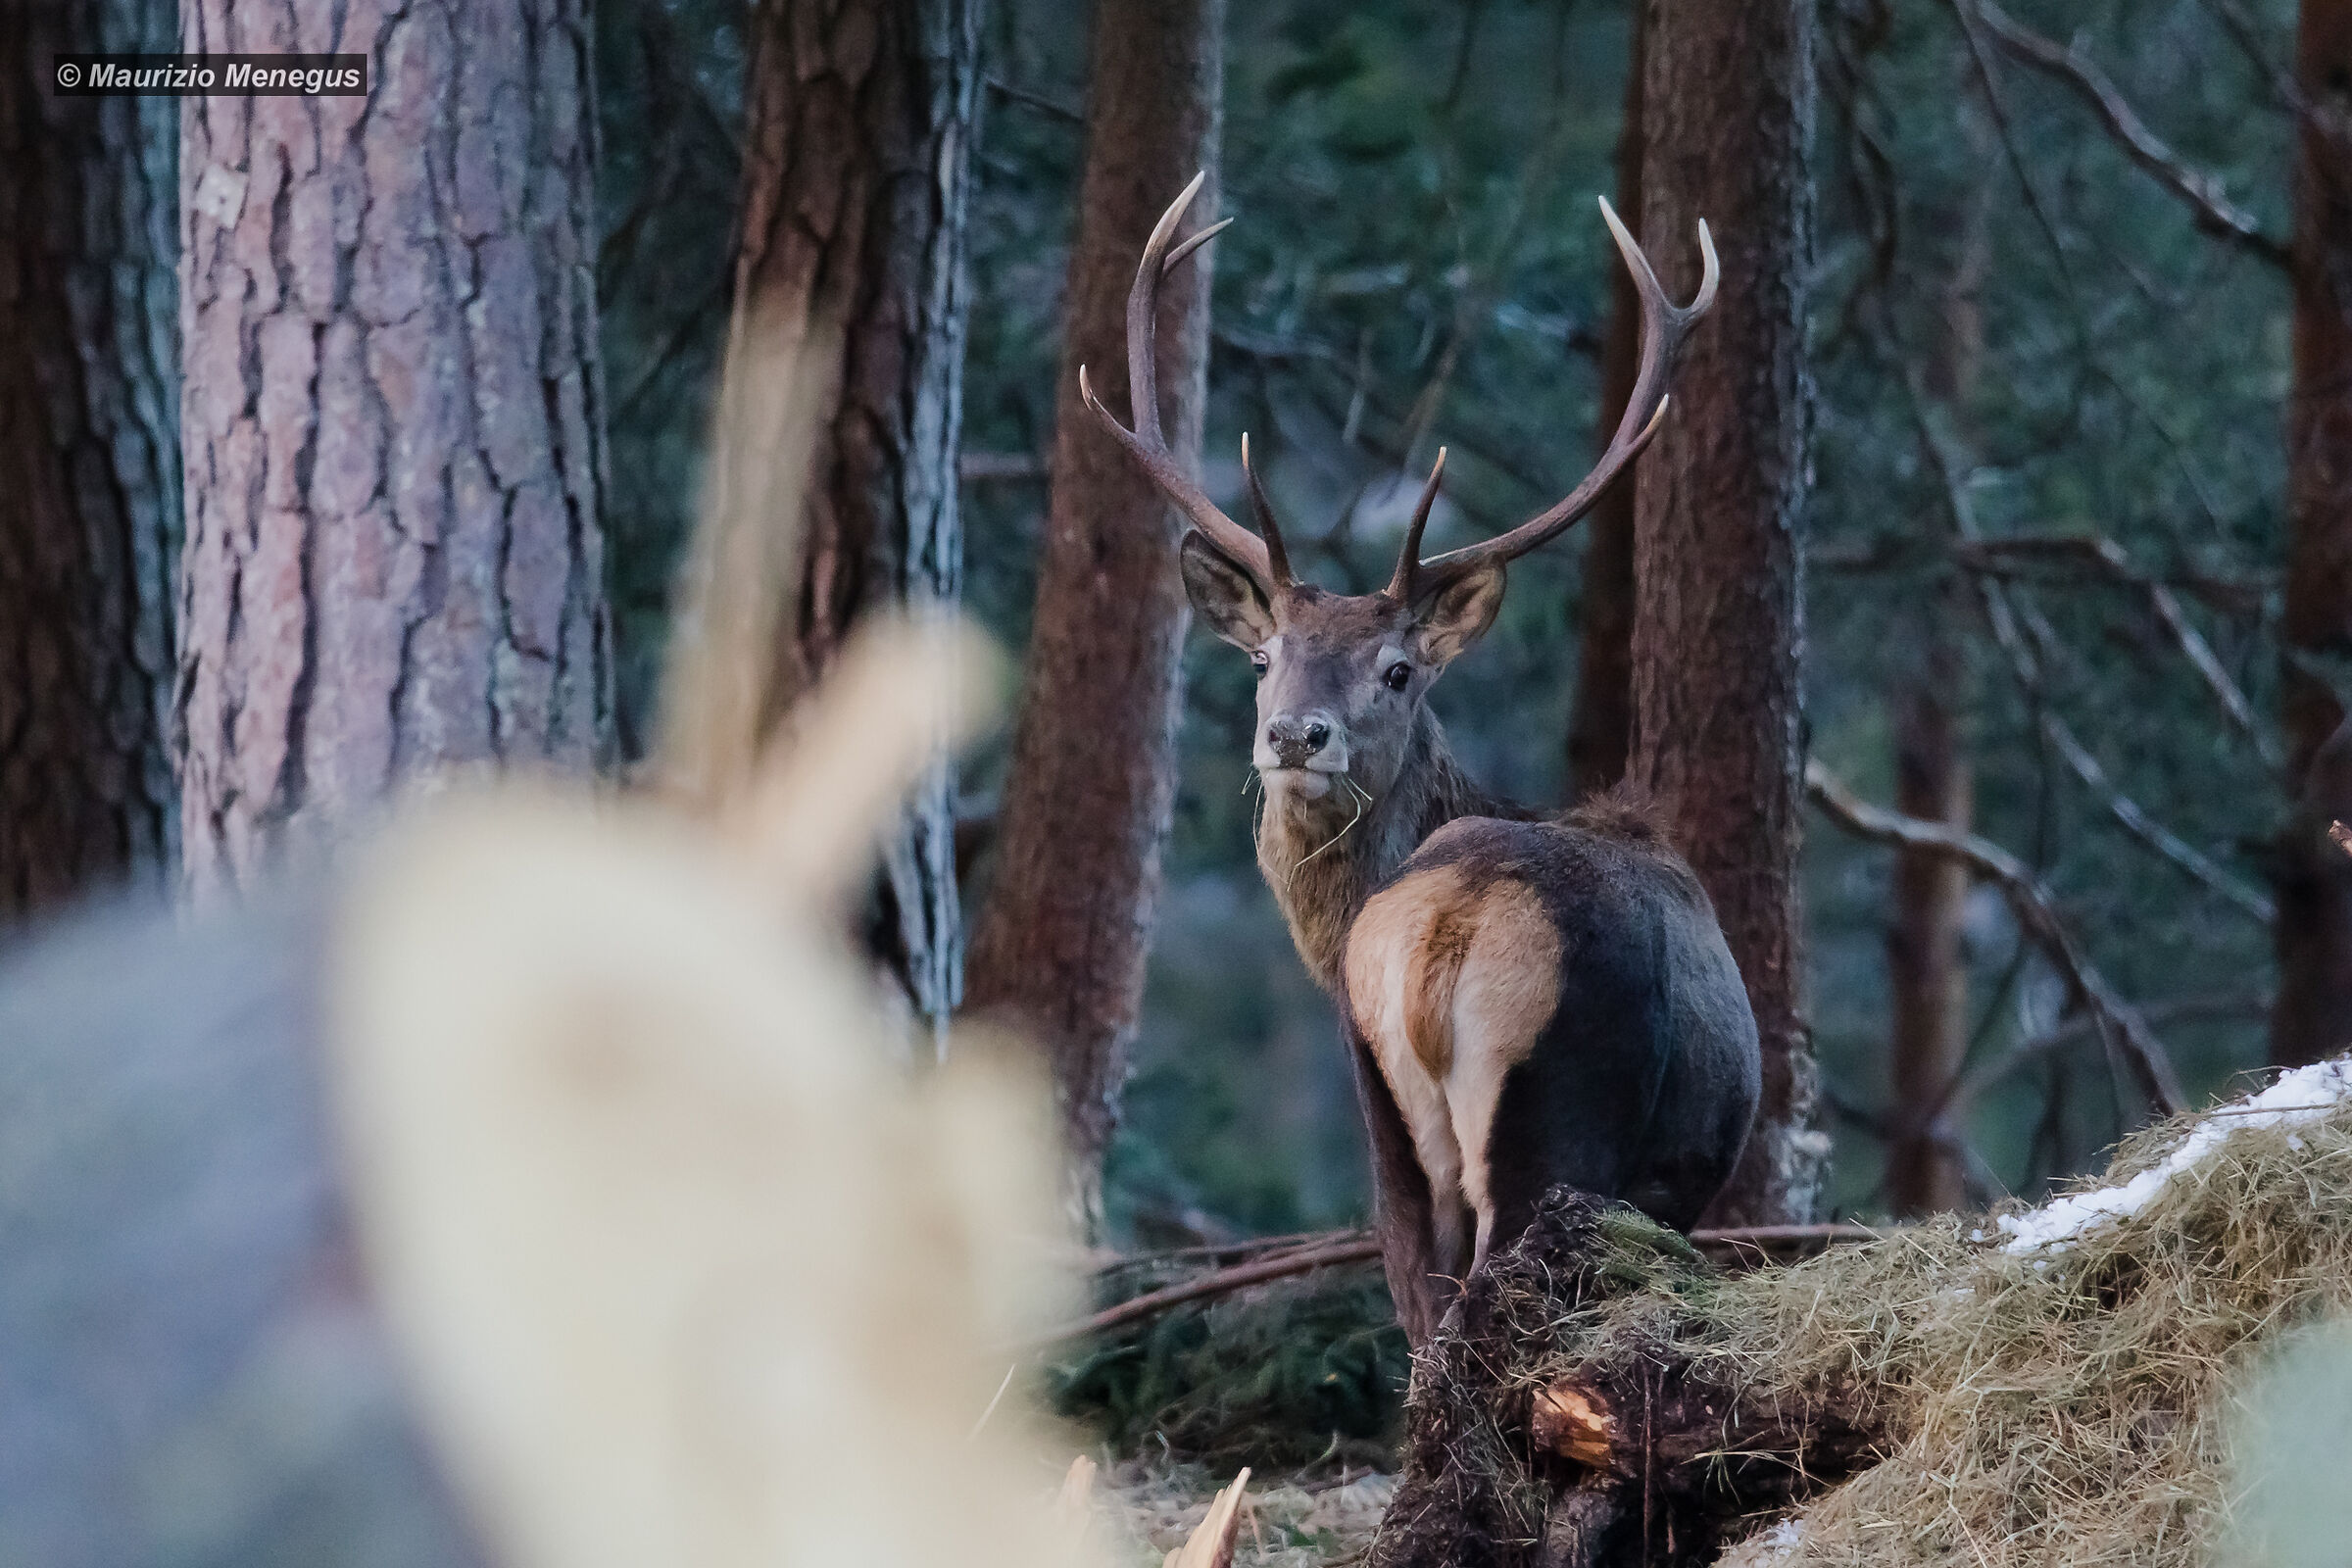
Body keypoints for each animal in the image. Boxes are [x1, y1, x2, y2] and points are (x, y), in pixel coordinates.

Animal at [1081, 175, 1762, 1345]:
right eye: (1263, 656)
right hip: (1555, 1114)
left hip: (1388, 1124)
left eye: (1397, 669)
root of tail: (1452, 925)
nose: (1294, 734)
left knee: (1423, 1311)